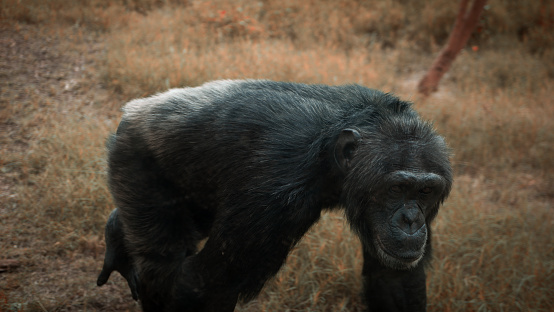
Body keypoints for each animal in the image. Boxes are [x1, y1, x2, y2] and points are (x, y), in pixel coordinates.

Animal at [95, 79, 450, 310]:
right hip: (136, 163)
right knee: (162, 262)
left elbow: (393, 279)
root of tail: (135, 109)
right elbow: (202, 285)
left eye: (425, 190)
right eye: (396, 188)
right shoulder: (273, 197)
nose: (410, 220)